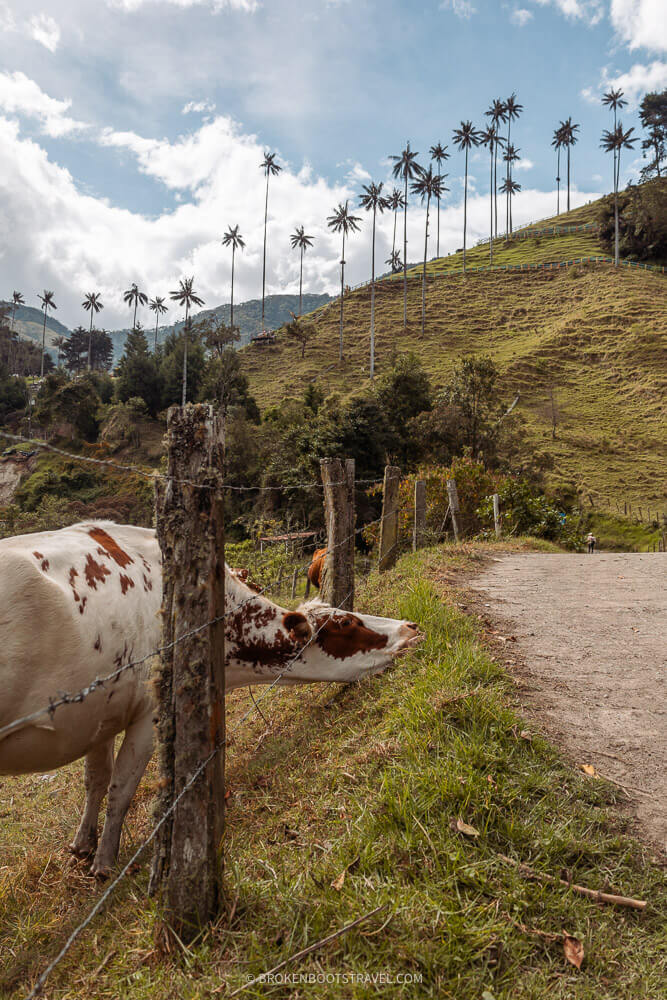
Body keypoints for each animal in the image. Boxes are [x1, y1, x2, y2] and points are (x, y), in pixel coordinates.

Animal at [0, 524, 420, 876]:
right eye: (346, 623)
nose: (411, 627)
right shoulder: (149, 713)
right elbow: (121, 788)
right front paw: (104, 862)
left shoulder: (100, 713)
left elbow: (96, 782)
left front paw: (83, 845)